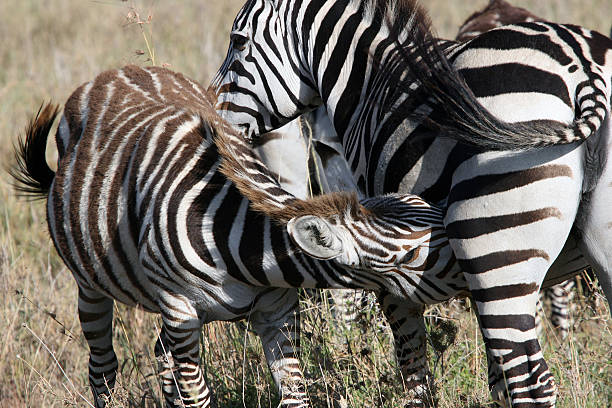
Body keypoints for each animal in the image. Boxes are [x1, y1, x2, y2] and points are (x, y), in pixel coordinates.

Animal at [10, 65, 464, 408]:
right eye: (409, 257)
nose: (471, 262)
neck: (244, 253)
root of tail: (116, 71)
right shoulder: (182, 313)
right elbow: (198, 397)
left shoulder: (278, 314)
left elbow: (295, 396)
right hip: (90, 284)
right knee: (102, 368)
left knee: (161, 362)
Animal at [210, 0, 612, 404]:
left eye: (238, 41)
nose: (212, 125)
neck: (371, 83)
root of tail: (582, 68)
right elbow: (494, 380)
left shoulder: (386, 256)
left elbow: (412, 364)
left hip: (495, 249)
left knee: (530, 382)